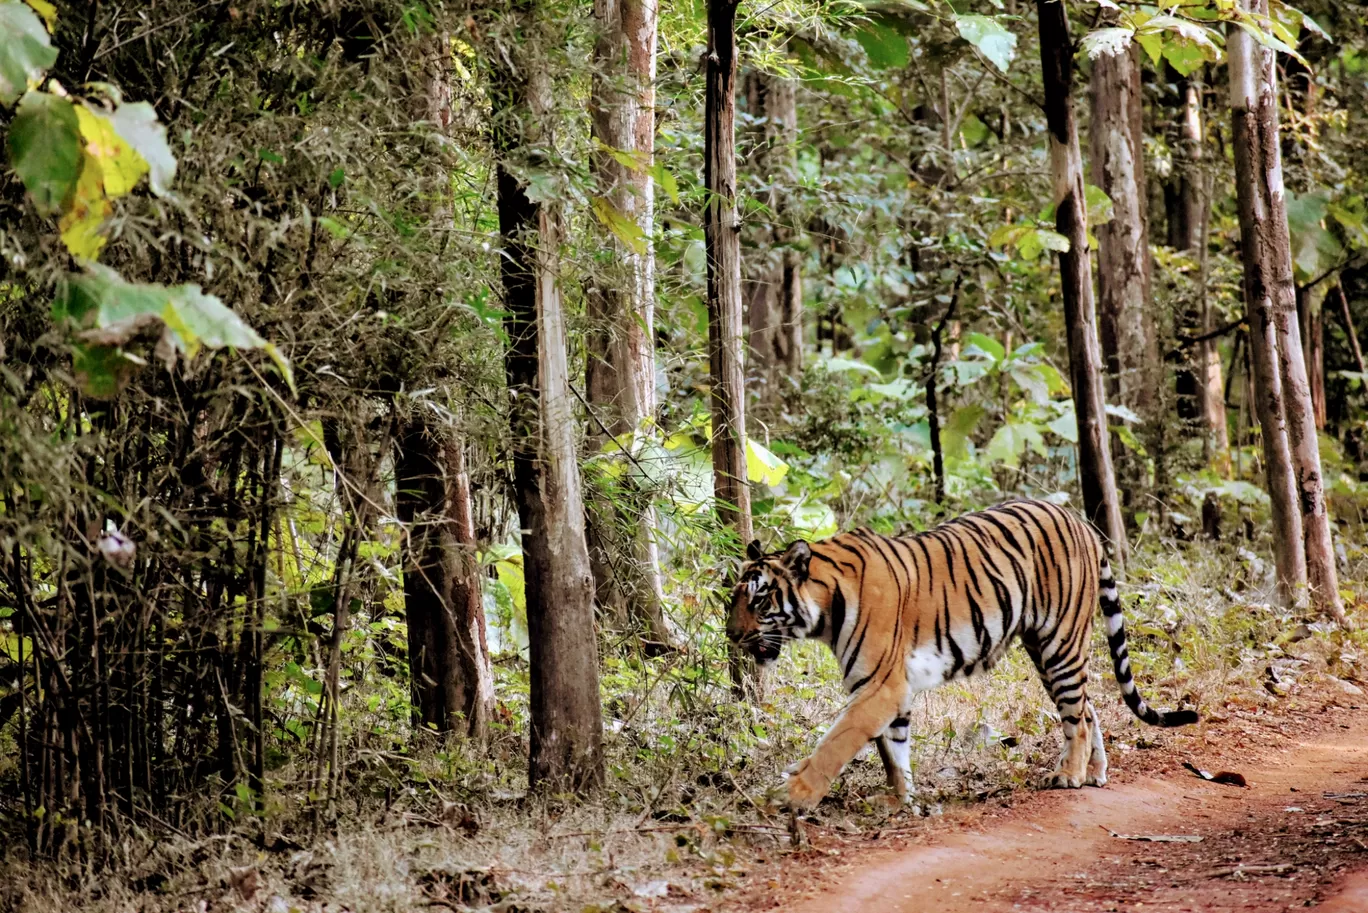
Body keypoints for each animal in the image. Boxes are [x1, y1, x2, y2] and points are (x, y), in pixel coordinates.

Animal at [727, 500, 1198, 804]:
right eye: (734, 599)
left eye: (759, 601)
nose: (731, 635)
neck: (826, 609)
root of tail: (1081, 522)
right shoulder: (890, 689)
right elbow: (893, 752)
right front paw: (901, 801)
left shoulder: (878, 686)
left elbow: (835, 744)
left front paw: (792, 795)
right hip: (1044, 649)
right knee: (1086, 706)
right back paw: (1094, 772)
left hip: (1059, 640)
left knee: (1077, 715)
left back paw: (1069, 776)